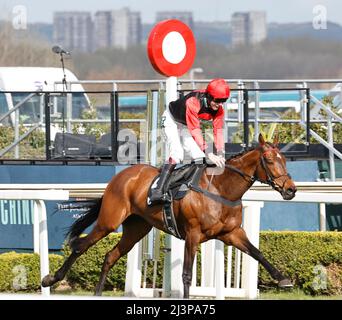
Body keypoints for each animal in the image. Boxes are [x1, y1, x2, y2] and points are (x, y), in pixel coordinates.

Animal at [42, 132, 296, 298]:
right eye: (270, 160)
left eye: (285, 159)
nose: (291, 189)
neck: (220, 190)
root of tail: (122, 176)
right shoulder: (193, 234)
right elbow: (186, 275)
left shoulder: (232, 233)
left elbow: (257, 253)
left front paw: (283, 279)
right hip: (109, 222)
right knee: (80, 246)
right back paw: (51, 279)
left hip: (137, 228)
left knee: (110, 256)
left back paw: (96, 293)